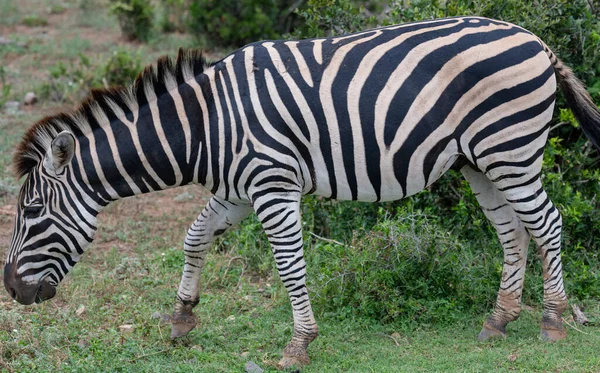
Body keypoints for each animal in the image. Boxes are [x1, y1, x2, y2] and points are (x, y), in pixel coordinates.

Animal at [4, 16, 600, 368]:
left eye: (30, 212)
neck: (206, 127)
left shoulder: (272, 185)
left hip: (509, 147)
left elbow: (289, 265)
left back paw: (552, 319)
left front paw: (298, 343)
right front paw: (182, 319)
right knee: (513, 231)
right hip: (480, 159)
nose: (11, 289)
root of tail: (535, 39)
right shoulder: (237, 190)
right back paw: (498, 320)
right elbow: (194, 237)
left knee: (547, 223)